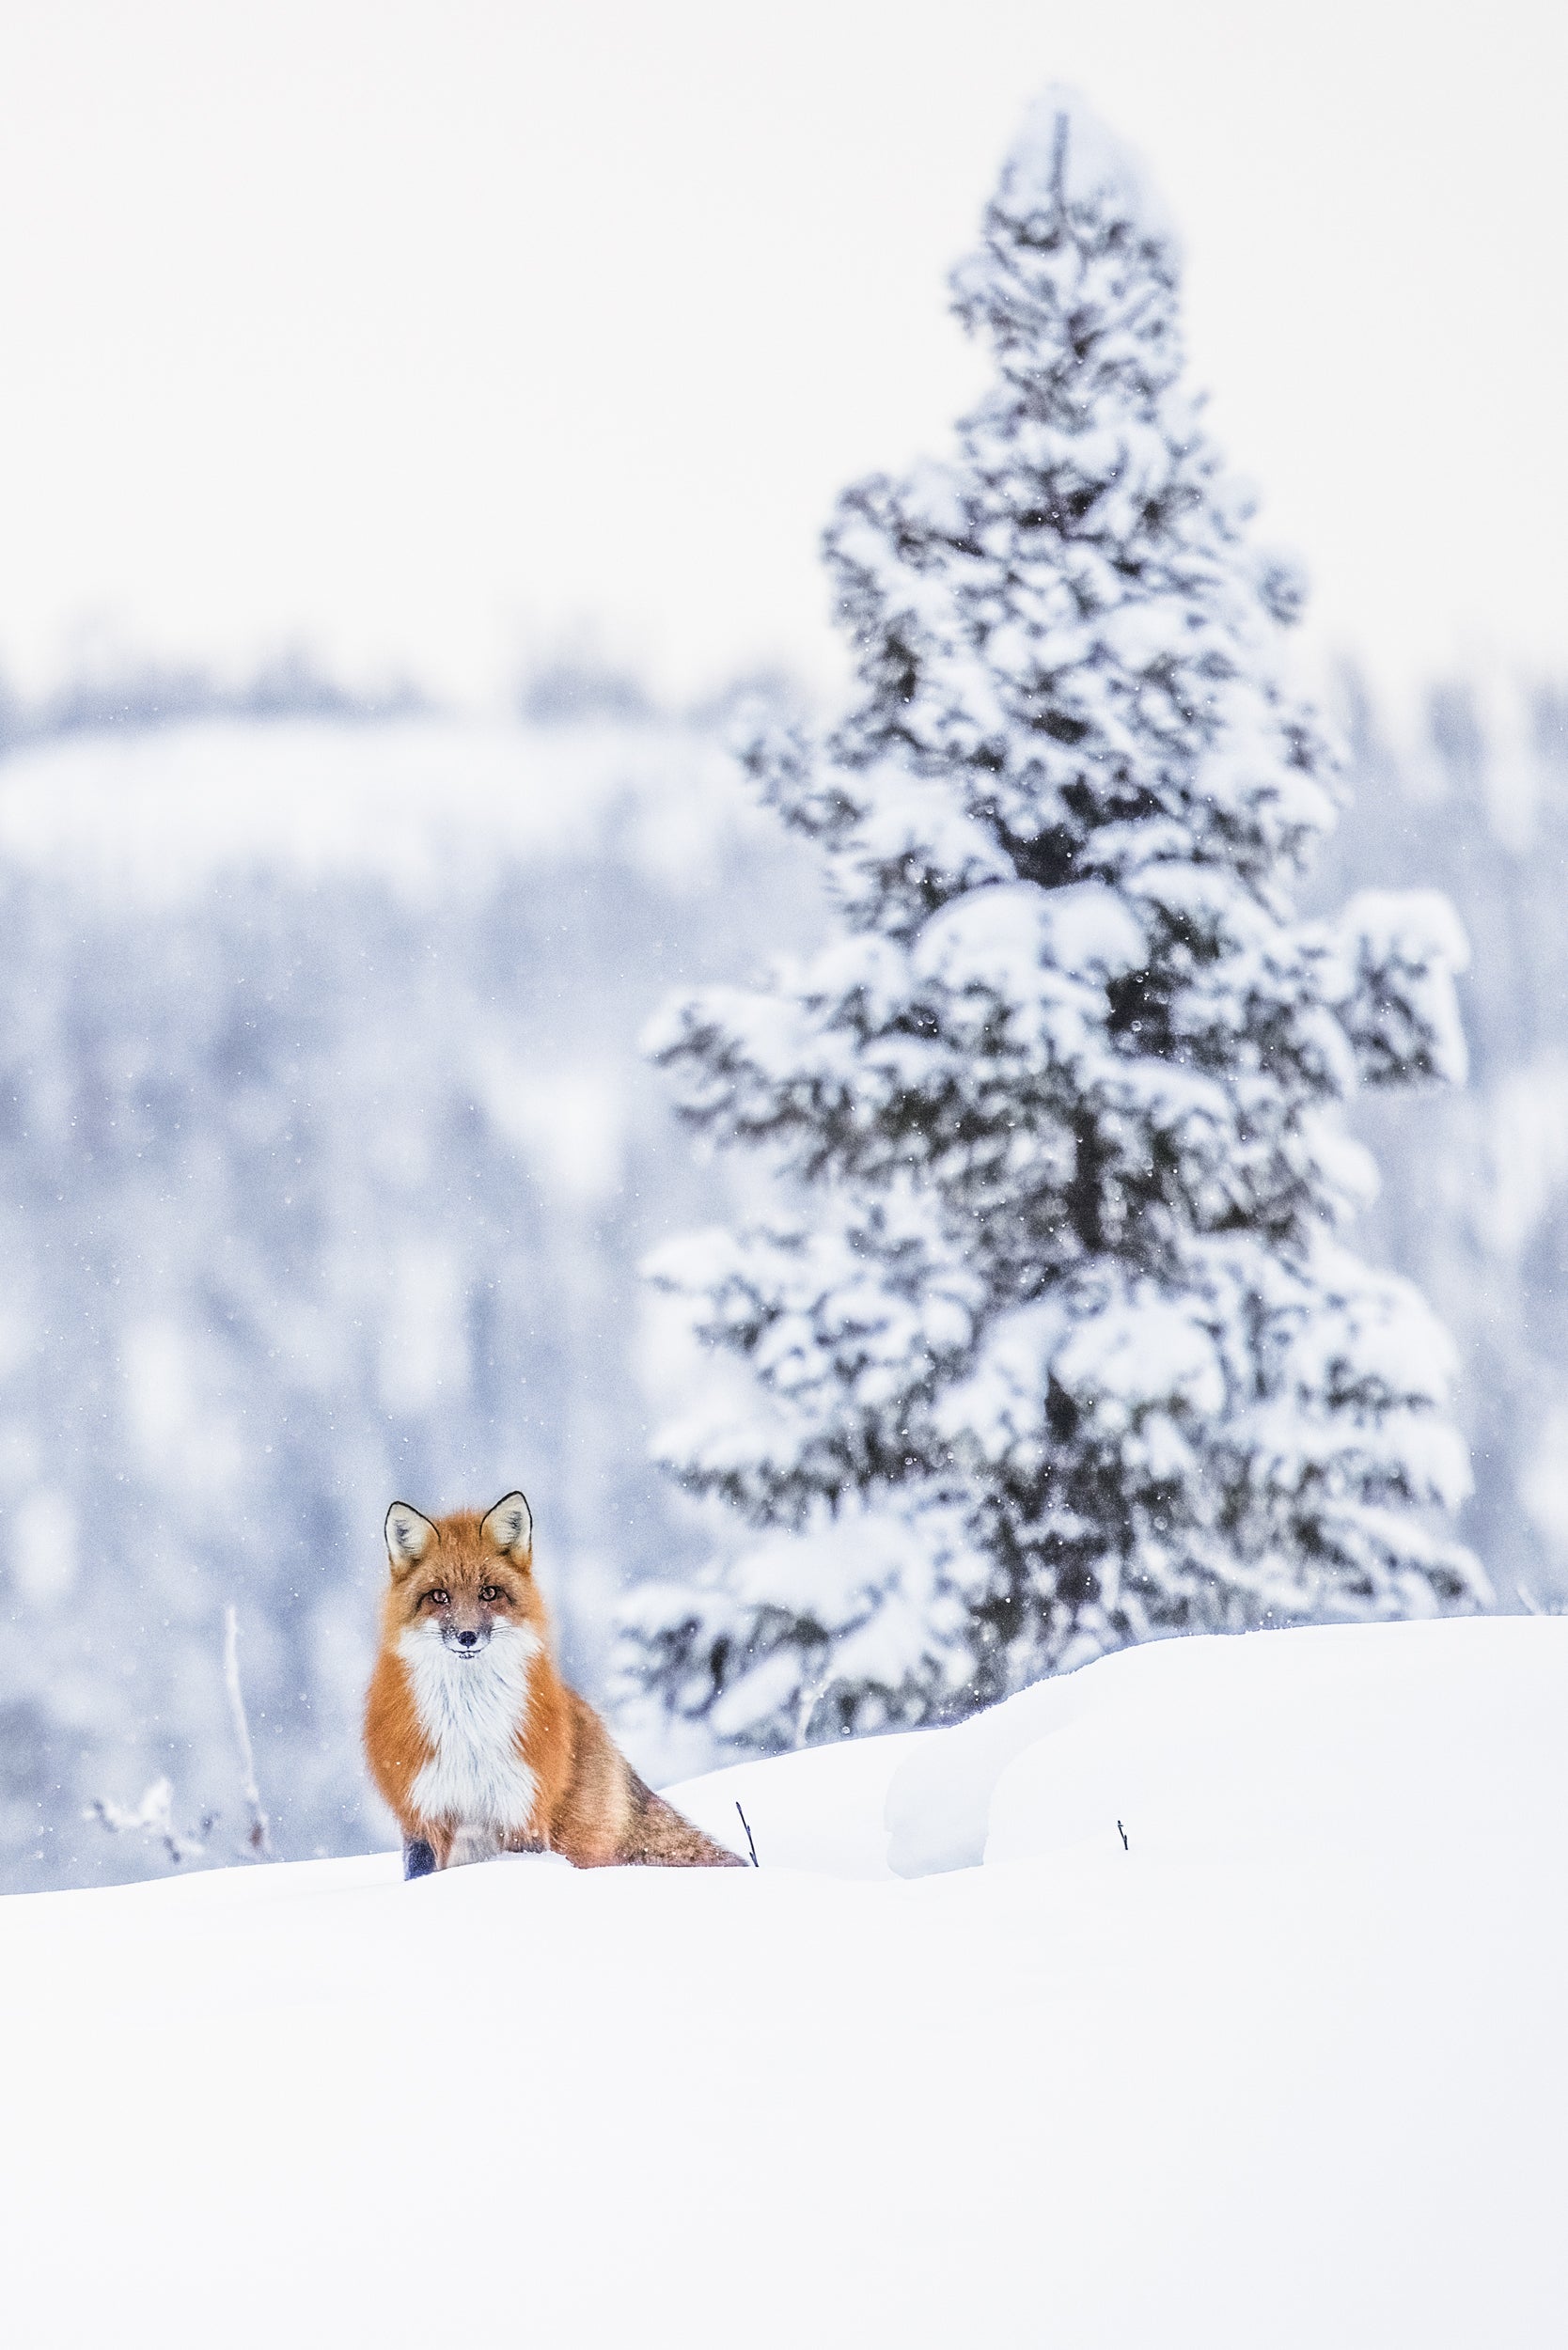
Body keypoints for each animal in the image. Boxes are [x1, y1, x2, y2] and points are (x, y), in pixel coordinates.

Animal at [363, 1490, 745, 1876]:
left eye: (489, 1593)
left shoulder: (523, 1811)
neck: (470, 1731)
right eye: (439, 1596)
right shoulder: (423, 1814)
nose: (467, 1637)